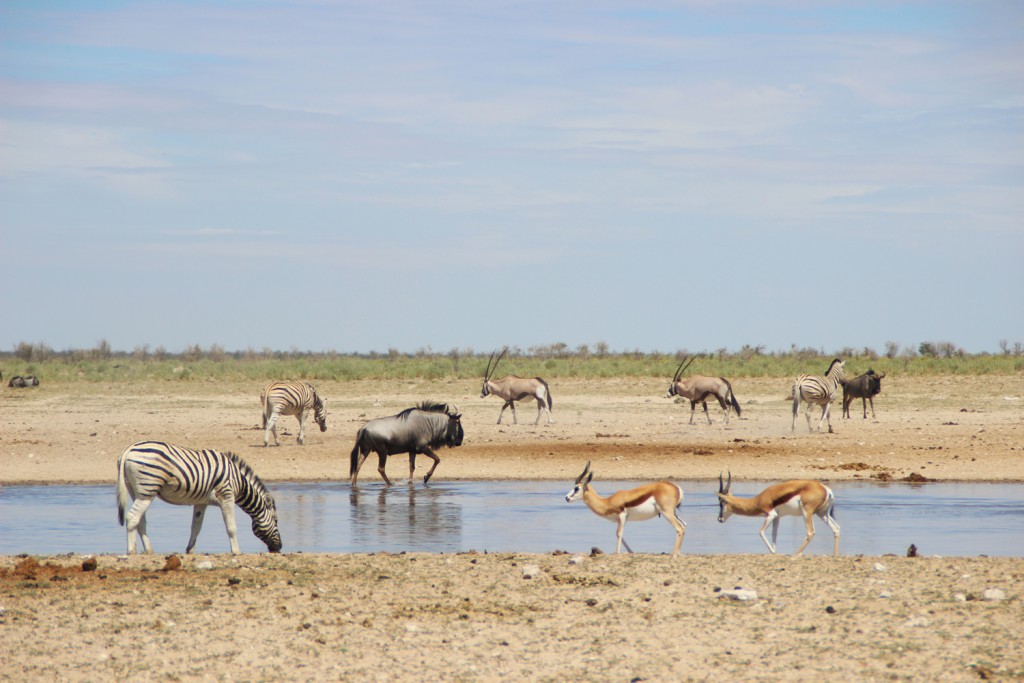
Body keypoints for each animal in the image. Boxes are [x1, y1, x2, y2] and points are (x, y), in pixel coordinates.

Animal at [117, 444, 280, 557]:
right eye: (276, 521)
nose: (279, 548)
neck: (239, 482)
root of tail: (129, 449)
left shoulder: (201, 502)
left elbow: (196, 527)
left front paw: (190, 550)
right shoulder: (226, 496)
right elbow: (231, 527)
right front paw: (236, 551)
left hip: (135, 490)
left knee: (140, 521)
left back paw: (149, 550)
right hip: (147, 490)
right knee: (132, 517)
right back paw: (131, 551)